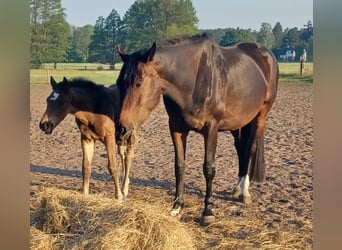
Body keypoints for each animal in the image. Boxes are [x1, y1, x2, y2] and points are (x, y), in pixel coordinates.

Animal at [117, 33, 278, 225]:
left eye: (139, 83)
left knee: (250, 149)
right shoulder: (176, 128)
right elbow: (179, 166)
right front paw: (177, 206)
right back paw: (237, 188)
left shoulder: (211, 129)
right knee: (241, 150)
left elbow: (208, 168)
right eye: (119, 83)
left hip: (260, 117)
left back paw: (245, 192)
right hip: (238, 122)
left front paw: (207, 211)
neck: (194, 80)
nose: (121, 128)